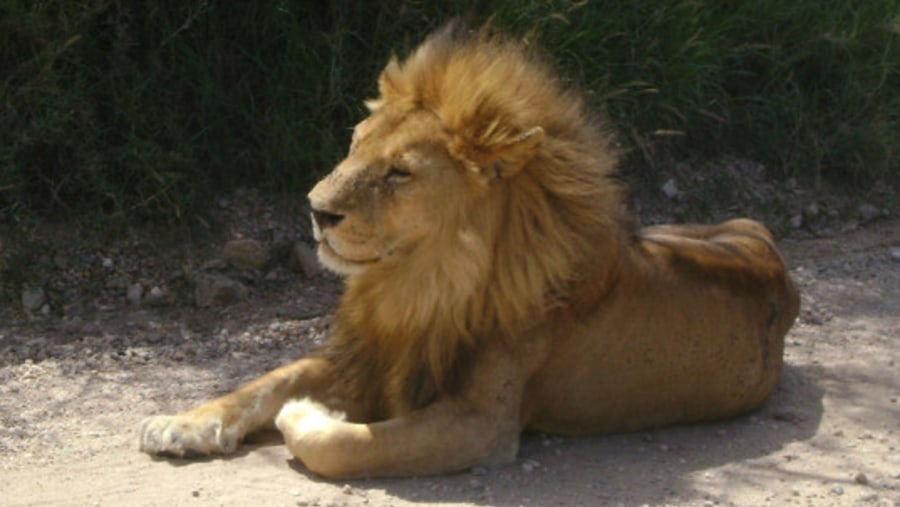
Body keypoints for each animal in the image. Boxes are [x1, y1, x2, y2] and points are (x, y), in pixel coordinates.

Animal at [141, 24, 800, 480]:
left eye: (399, 173)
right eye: (354, 144)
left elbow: (341, 443)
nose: (315, 209)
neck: (420, 282)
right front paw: (182, 422)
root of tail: (768, 249)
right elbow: (267, 379)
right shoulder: (374, 356)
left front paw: (310, 415)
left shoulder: (481, 424)